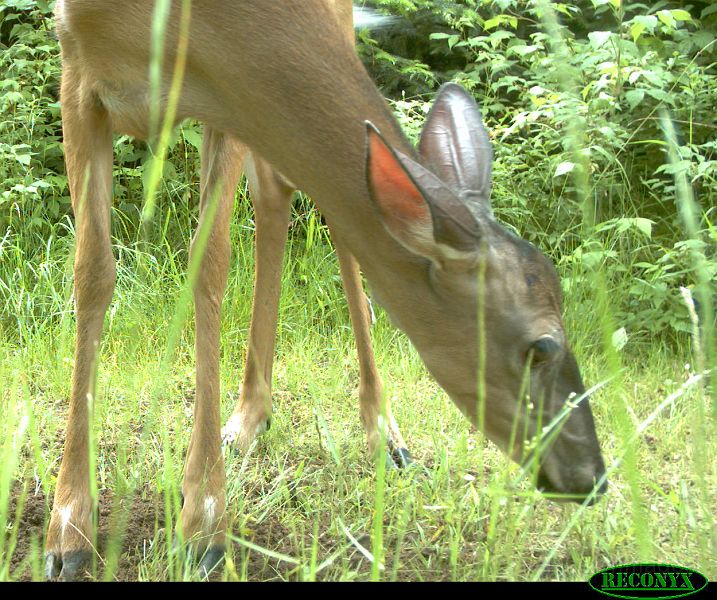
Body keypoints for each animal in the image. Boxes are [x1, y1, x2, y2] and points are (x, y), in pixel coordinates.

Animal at [46, 0, 604, 580]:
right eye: (541, 347)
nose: (592, 474)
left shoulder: (227, 97)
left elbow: (210, 264)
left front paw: (202, 525)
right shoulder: (78, 68)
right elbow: (92, 272)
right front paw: (68, 529)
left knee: (319, 214)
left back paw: (383, 432)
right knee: (276, 192)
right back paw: (248, 417)